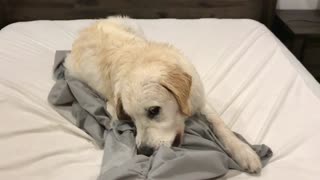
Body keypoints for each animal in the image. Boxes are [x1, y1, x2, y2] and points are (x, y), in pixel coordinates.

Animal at [65, 16, 262, 173]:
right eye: (131, 118)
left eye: (154, 110)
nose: (143, 151)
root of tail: (86, 28)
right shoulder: (112, 106)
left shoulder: (198, 98)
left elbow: (220, 125)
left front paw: (244, 152)